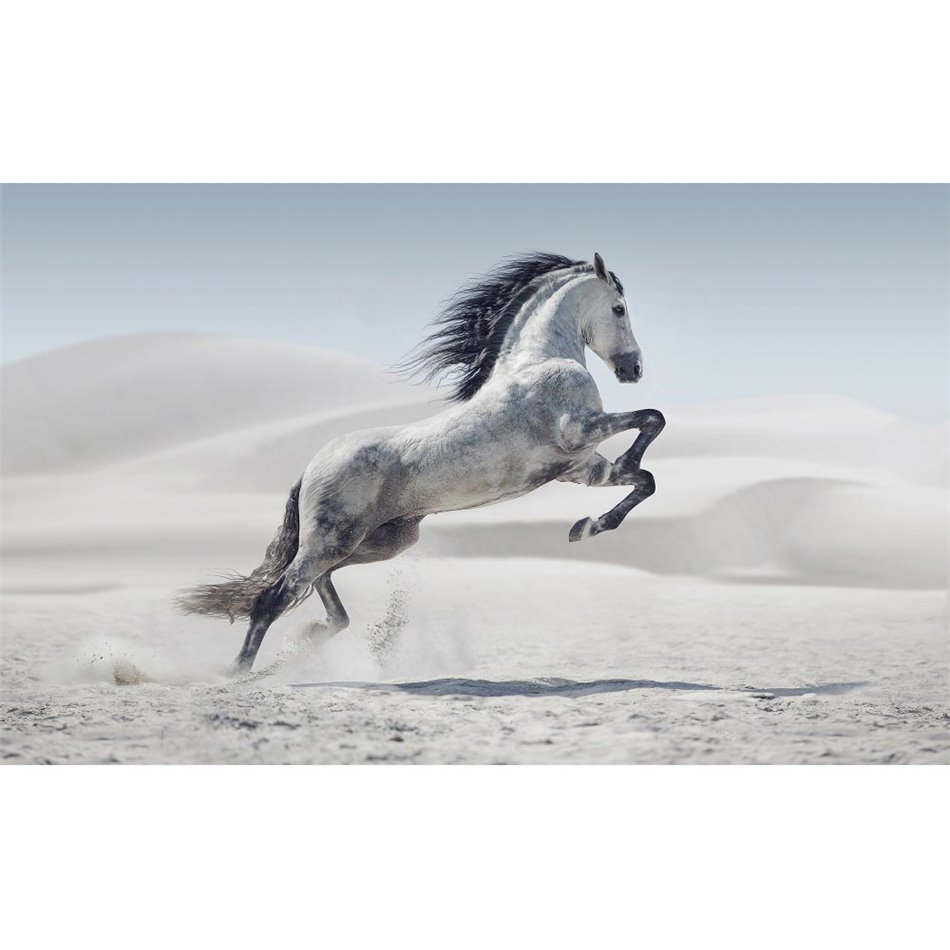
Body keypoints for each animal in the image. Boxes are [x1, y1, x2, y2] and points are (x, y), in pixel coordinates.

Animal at [177, 252, 665, 672]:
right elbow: (652, 419)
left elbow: (644, 479)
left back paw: (311, 636)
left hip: (380, 542)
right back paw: (238, 672)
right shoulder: (578, 431)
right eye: (619, 308)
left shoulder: (580, 468)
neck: (539, 361)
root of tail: (312, 467)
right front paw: (601, 503)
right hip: (333, 540)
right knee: (274, 597)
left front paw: (586, 527)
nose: (634, 369)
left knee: (319, 587)